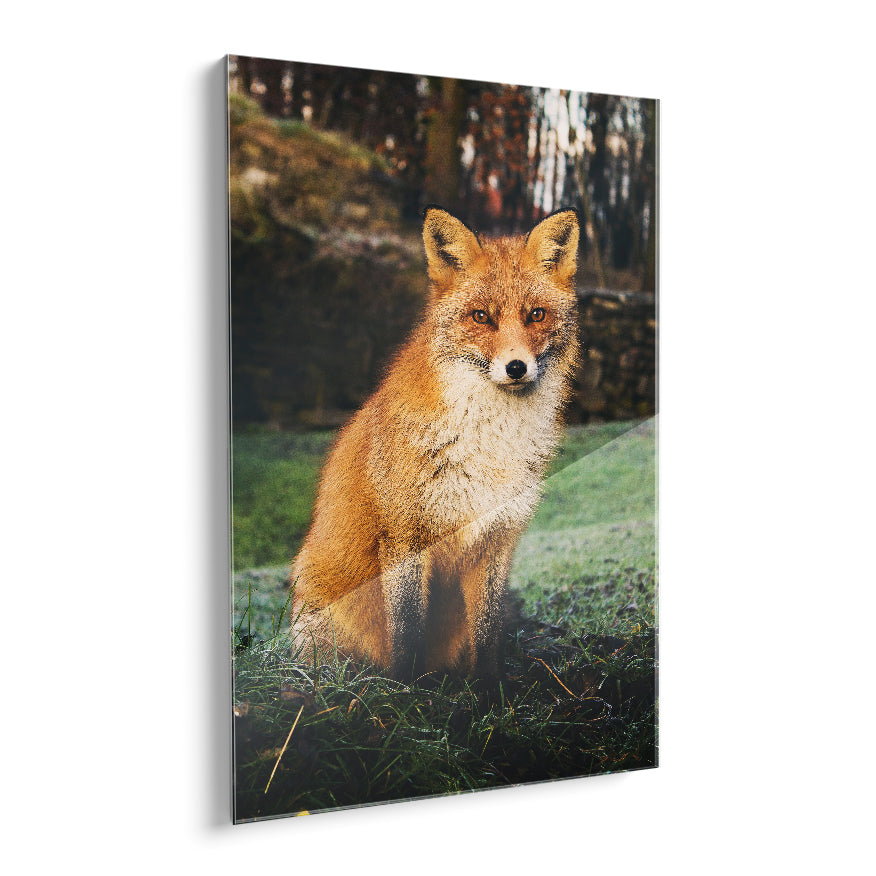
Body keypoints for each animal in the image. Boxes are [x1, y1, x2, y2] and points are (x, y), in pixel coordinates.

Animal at [291, 206, 580, 685]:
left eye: (536, 315)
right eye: (480, 317)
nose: (516, 367)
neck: (489, 444)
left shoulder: (496, 538)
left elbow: (487, 633)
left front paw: (490, 692)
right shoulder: (404, 537)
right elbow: (408, 632)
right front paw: (408, 693)